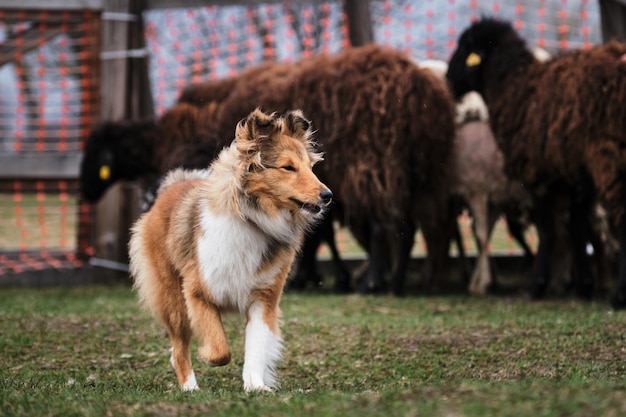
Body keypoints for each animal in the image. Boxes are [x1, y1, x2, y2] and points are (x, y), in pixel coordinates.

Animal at [128, 107, 332, 390]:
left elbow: (256, 346)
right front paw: (206, 355)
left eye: (311, 168)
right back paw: (189, 387)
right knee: (179, 348)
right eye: (288, 167)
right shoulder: (197, 292)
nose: (328, 196)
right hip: (172, 300)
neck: (254, 220)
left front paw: (256, 386)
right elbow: (220, 350)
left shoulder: (264, 299)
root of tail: (170, 187)